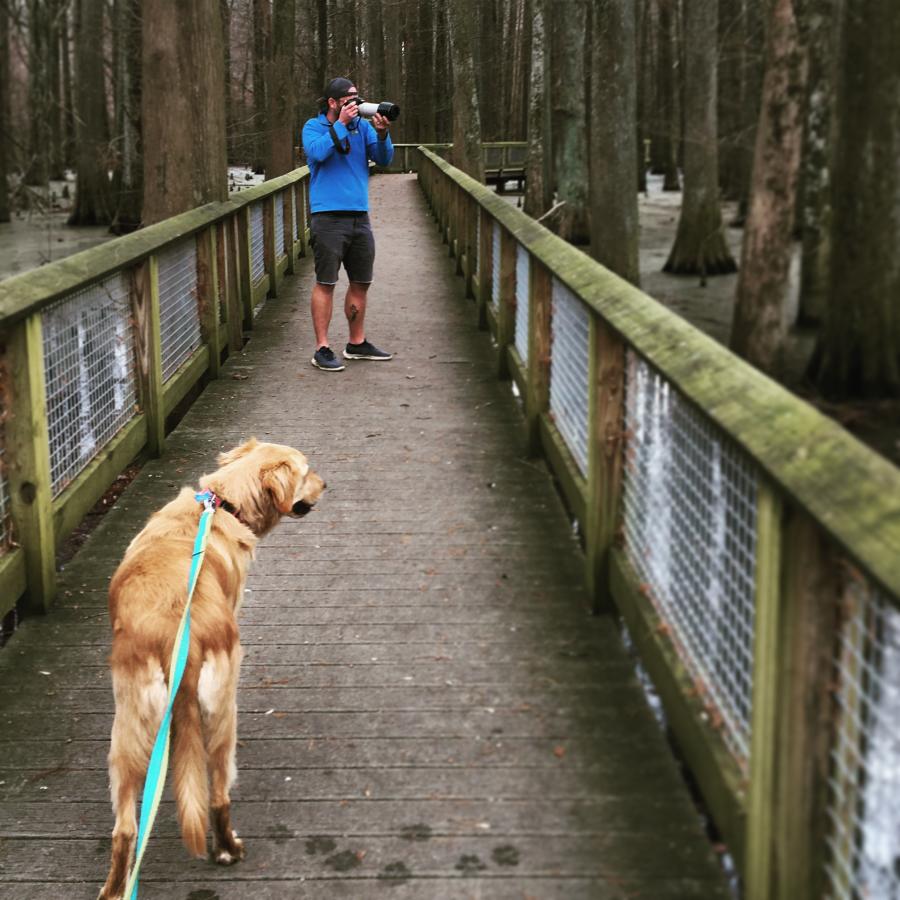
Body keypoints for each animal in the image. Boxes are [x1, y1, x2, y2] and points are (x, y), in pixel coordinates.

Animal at [99, 440, 324, 896]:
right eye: (307, 471)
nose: (327, 484)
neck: (224, 503)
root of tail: (177, 635)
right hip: (222, 713)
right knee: (219, 794)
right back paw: (228, 849)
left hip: (126, 732)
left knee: (125, 829)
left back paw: (114, 888)